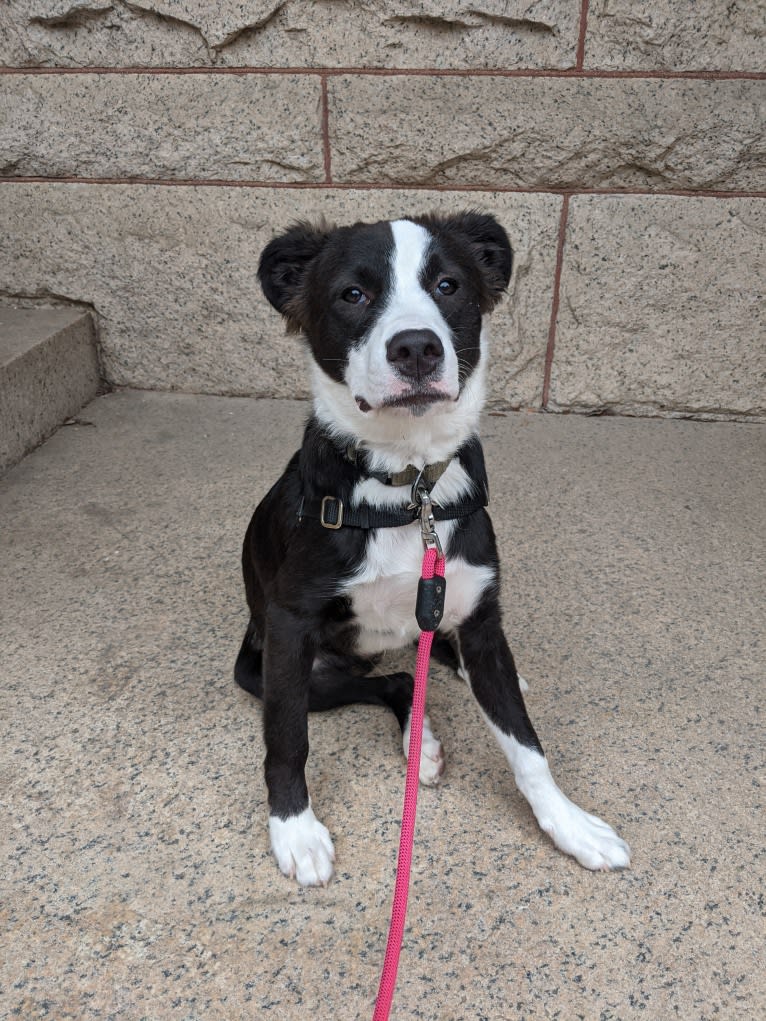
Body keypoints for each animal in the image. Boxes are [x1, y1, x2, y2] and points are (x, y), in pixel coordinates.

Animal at [236, 213, 633, 886]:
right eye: (353, 294)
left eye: (449, 285)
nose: (417, 347)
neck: (411, 484)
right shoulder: (289, 629)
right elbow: (287, 739)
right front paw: (294, 829)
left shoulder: (478, 618)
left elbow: (528, 748)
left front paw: (569, 825)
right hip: (271, 667)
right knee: (395, 682)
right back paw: (417, 745)